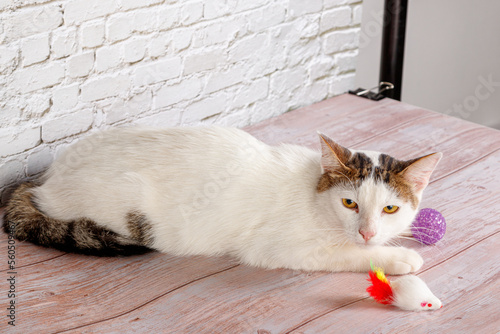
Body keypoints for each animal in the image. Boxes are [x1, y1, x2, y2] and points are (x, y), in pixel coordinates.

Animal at [3, 126, 442, 276]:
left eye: (390, 209)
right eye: (349, 203)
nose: (367, 232)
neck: (313, 195)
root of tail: (43, 179)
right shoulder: (275, 248)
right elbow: (343, 255)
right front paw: (399, 258)